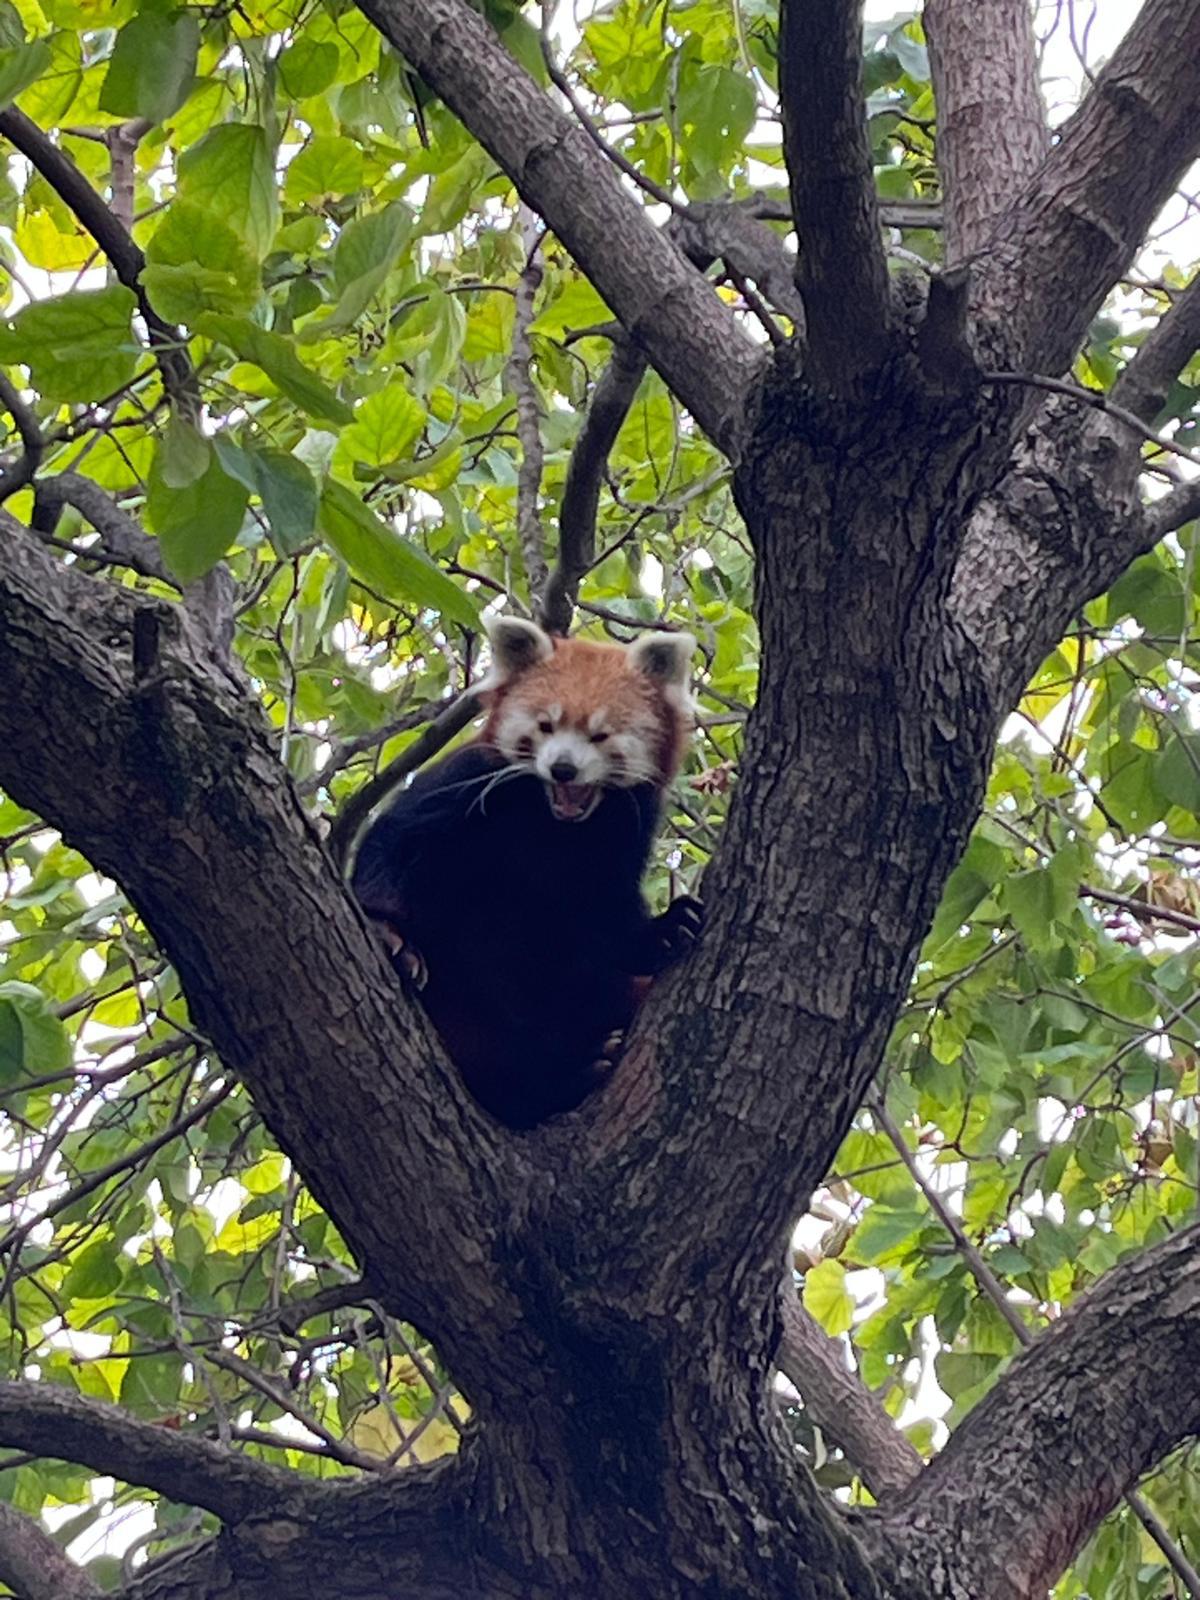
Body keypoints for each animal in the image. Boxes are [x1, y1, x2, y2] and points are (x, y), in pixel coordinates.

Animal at [350, 611, 704, 1126]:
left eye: (600, 735)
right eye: (545, 725)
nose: (563, 768)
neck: (553, 826)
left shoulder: (621, 836)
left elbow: (604, 916)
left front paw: (663, 930)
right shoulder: (468, 782)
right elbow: (394, 844)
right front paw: (386, 930)